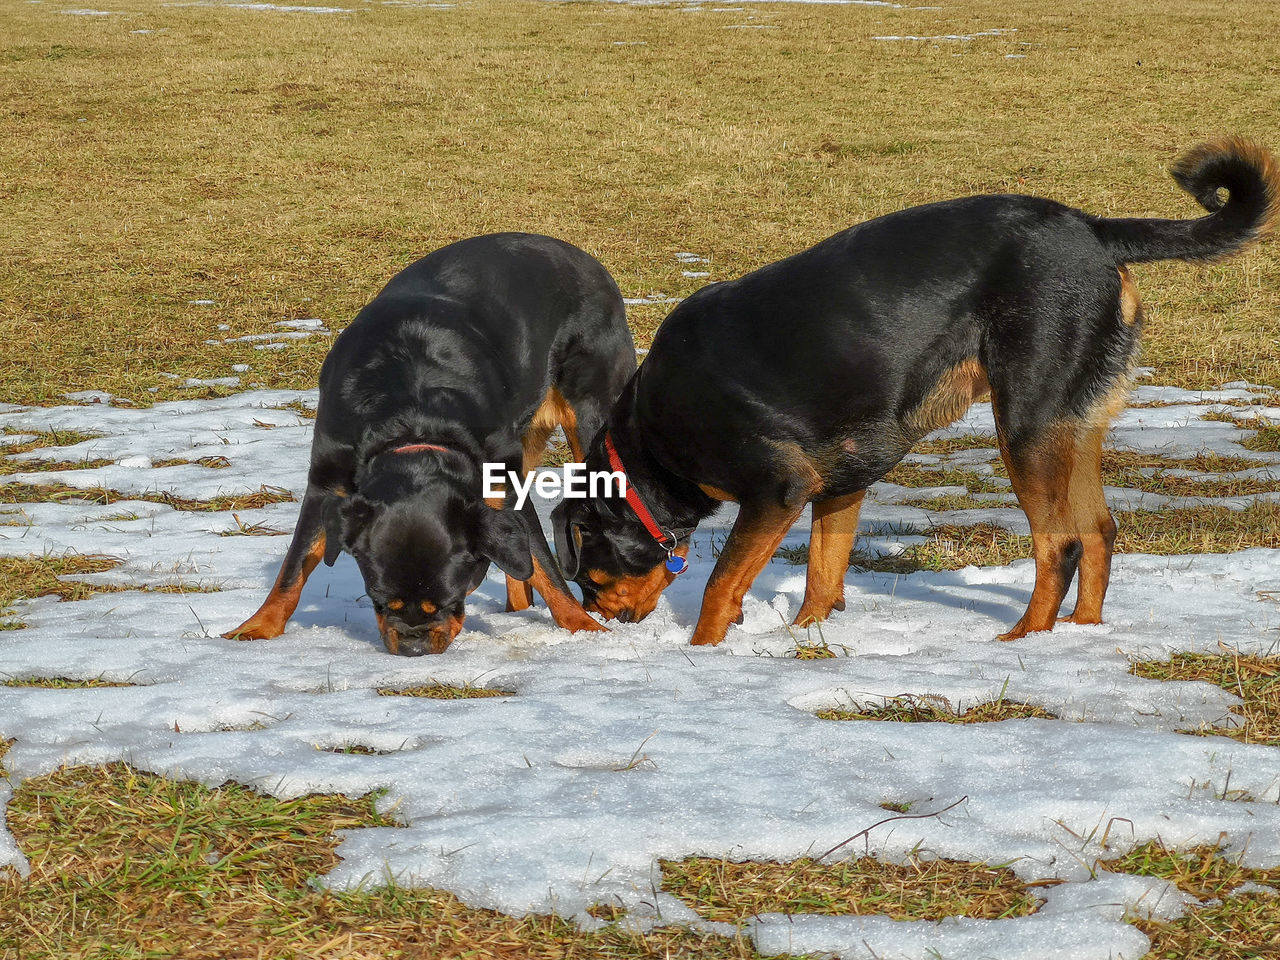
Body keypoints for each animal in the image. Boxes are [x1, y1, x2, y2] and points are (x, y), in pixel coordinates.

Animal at [227, 234, 637, 660]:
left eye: (449, 601)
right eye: (378, 601)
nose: (414, 646)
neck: (413, 421)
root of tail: (586, 259)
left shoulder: (500, 483)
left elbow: (543, 564)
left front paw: (584, 626)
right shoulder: (327, 480)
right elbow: (292, 567)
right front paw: (254, 629)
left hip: (590, 416)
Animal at [552, 138, 1280, 650]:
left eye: (590, 576)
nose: (603, 619)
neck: (651, 442)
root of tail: (1094, 228)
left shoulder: (778, 489)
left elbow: (720, 586)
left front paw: (701, 653)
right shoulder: (838, 484)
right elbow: (823, 573)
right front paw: (804, 639)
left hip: (1026, 422)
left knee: (1061, 545)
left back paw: (1024, 638)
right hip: (1074, 419)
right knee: (1099, 530)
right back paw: (1079, 637)